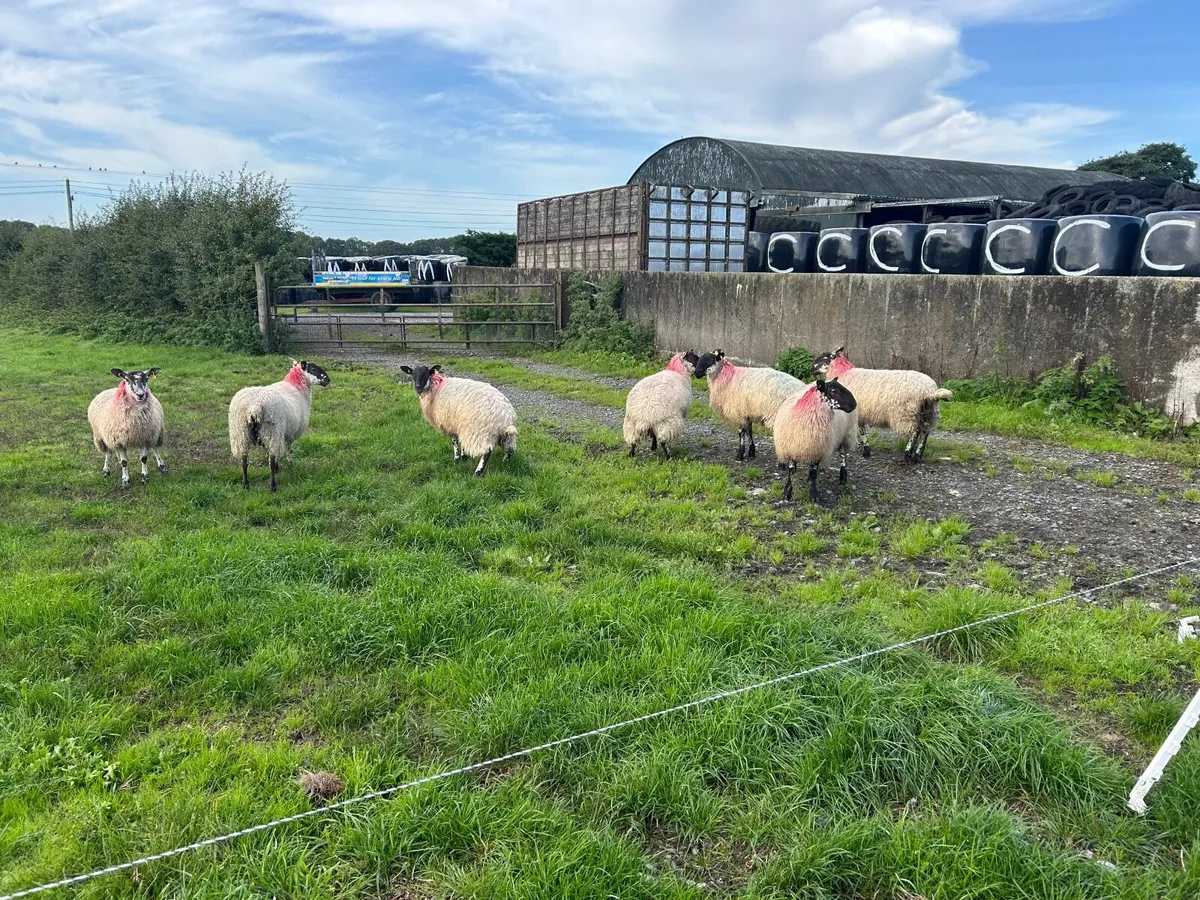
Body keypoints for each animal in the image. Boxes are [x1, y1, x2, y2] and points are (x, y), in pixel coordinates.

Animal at [229, 359, 330, 491]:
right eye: (313, 369)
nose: (328, 380)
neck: (296, 385)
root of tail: (254, 407)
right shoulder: (290, 433)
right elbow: (289, 451)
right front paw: (290, 466)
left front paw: (280, 468)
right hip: (273, 430)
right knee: (270, 461)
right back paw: (273, 486)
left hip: (241, 433)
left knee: (244, 460)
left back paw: (246, 484)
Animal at [811, 346, 952, 462]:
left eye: (824, 357)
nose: (811, 369)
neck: (842, 373)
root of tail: (929, 391)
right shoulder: (860, 412)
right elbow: (861, 430)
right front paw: (864, 448)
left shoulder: (856, 411)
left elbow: (861, 431)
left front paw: (866, 450)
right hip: (929, 412)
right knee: (925, 432)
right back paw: (918, 455)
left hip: (908, 413)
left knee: (916, 431)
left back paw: (908, 453)